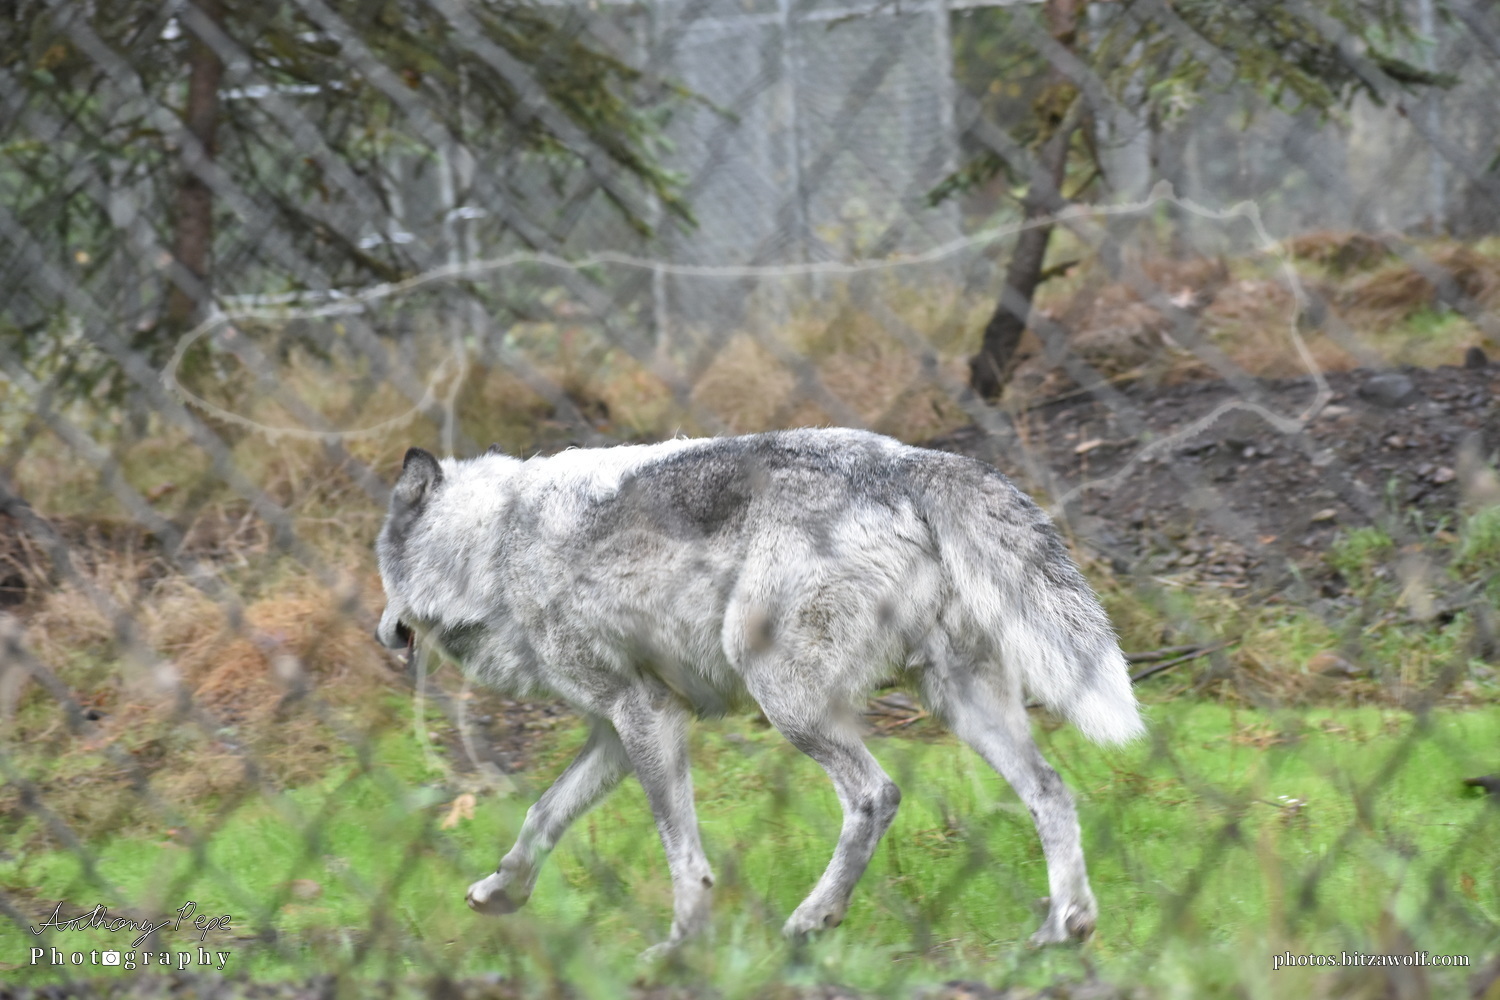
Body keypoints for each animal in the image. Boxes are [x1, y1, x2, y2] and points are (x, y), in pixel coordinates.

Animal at [375, 428, 1144, 953]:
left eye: (381, 573)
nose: (381, 635)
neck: (494, 546)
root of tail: (905, 461)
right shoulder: (621, 730)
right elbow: (542, 815)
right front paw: (502, 892)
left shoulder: (645, 715)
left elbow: (683, 857)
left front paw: (682, 946)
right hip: (958, 704)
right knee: (1050, 790)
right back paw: (1064, 926)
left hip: (787, 699)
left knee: (877, 795)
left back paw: (813, 918)